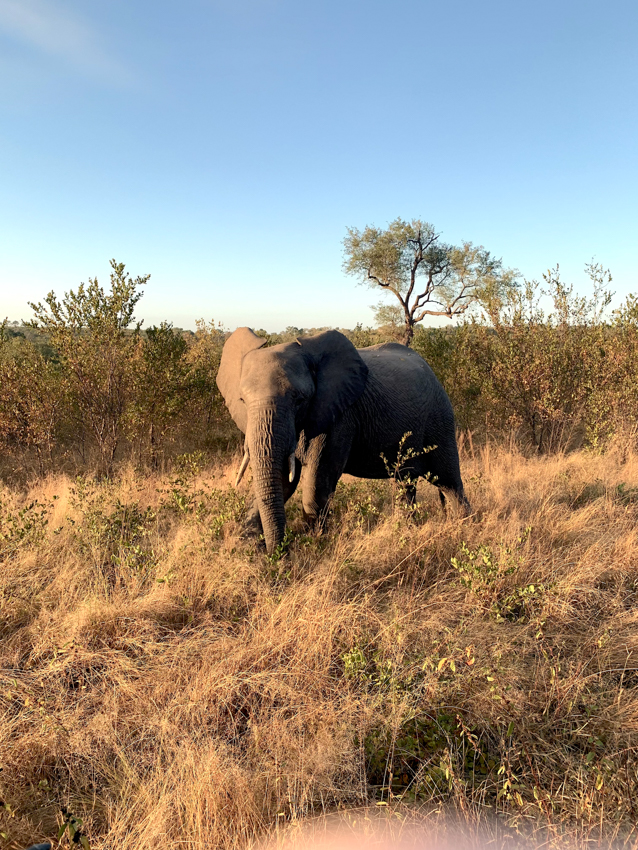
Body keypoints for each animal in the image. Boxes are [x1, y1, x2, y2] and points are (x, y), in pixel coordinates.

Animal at [218, 328, 472, 552]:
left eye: (300, 399)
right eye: (242, 400)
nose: (280, 553)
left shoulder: (341, 416)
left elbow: (316, 486)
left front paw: (316, 546)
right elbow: (283, 481)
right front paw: (252, 547)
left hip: (439, 418)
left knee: (448, 482)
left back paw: (463, 527)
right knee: (405, 482)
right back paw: (408, 530)